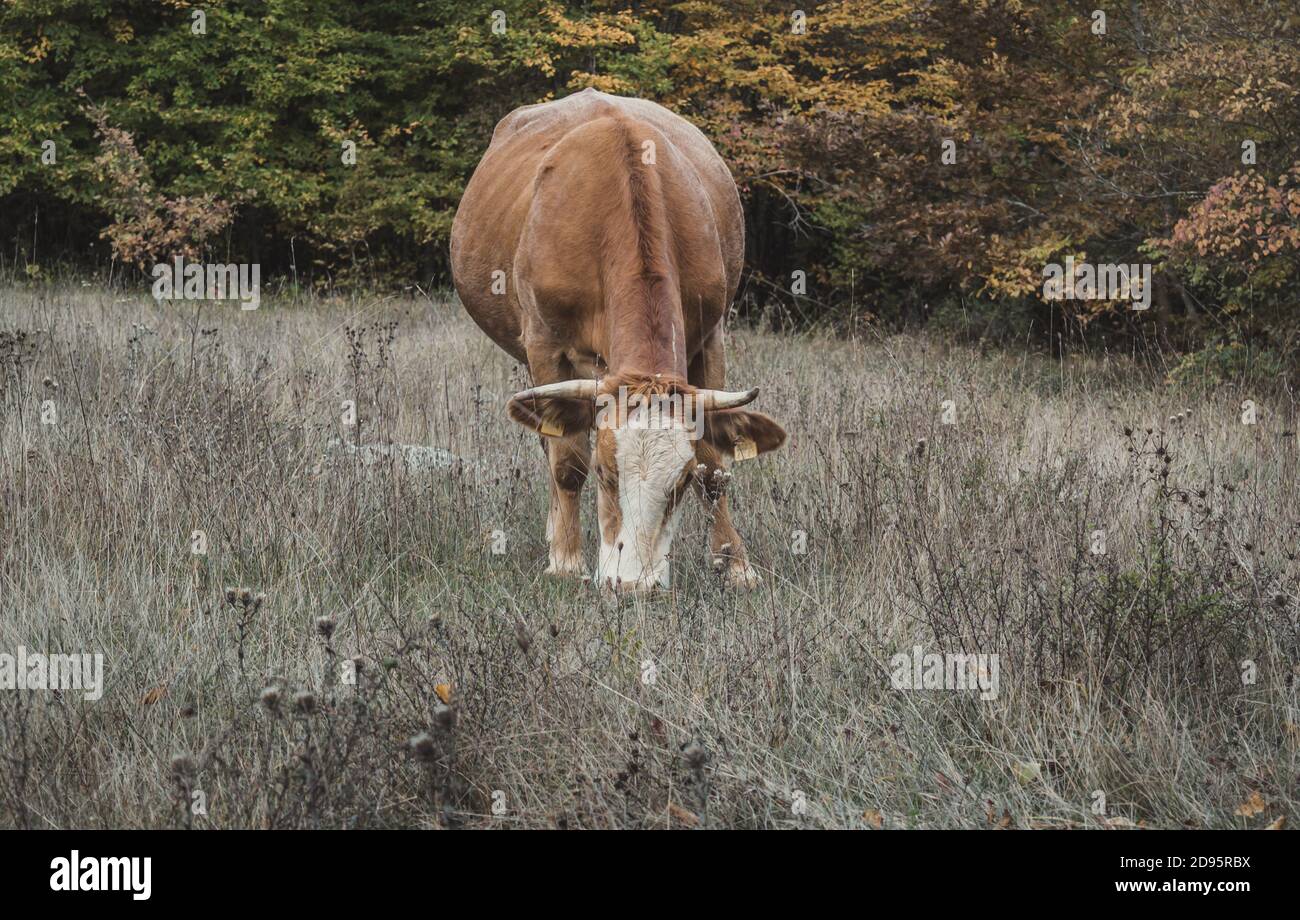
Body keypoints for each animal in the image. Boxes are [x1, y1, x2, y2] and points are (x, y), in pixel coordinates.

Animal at [450, 88, 786, 593]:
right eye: (606, 473)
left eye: (680, 481)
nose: (634, 583)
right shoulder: (546, 345)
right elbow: (567, 460)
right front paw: (566, 561)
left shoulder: (710, 338)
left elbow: (716, 465)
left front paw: (736, 565)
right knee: (550, 442)